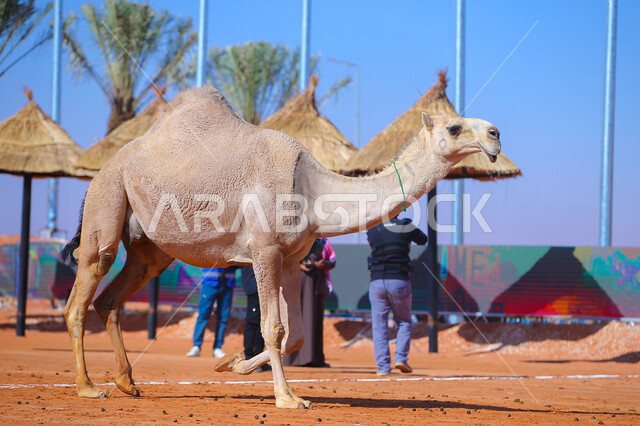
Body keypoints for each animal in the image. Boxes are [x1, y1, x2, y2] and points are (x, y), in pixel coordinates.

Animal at [62, 86, 501, 409]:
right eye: (455, 127)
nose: (496, 135)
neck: (313, 189)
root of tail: (104, 167)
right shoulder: (265, 250)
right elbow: (273, 328)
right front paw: (287, 398)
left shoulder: (291, 259)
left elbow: (297, 335)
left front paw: (231, 363)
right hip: (108, 195)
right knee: (83, 290)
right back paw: (88, 387)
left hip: (149, 249)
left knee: (112, 299)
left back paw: (127, 382)